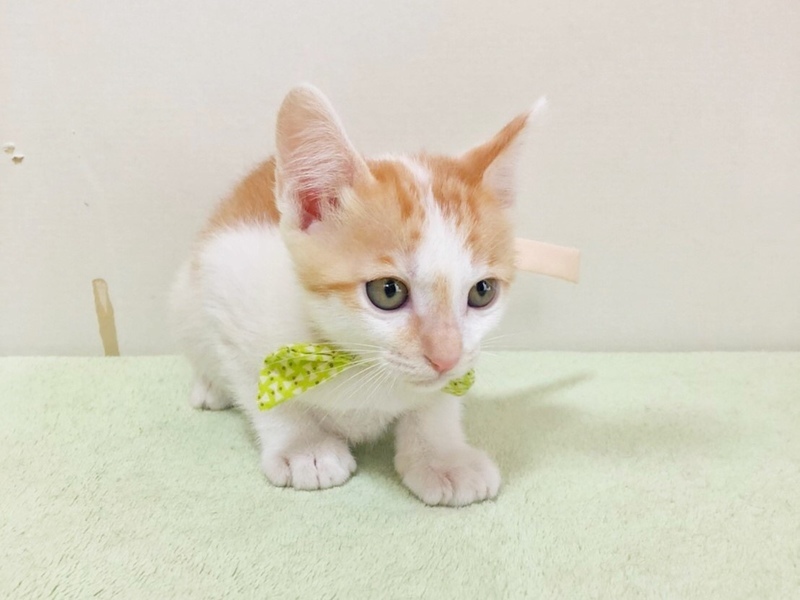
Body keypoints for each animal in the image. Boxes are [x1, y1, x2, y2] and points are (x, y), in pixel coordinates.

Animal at [170, 84, 532, 506]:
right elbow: (257, 384)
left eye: (482, 292)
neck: (358, 363)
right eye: (388, 291)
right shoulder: (228, 284)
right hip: (186, 298)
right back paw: (211, 386)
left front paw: (443, 456)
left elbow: (438, 400)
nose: (445, 357)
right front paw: (303, 447)